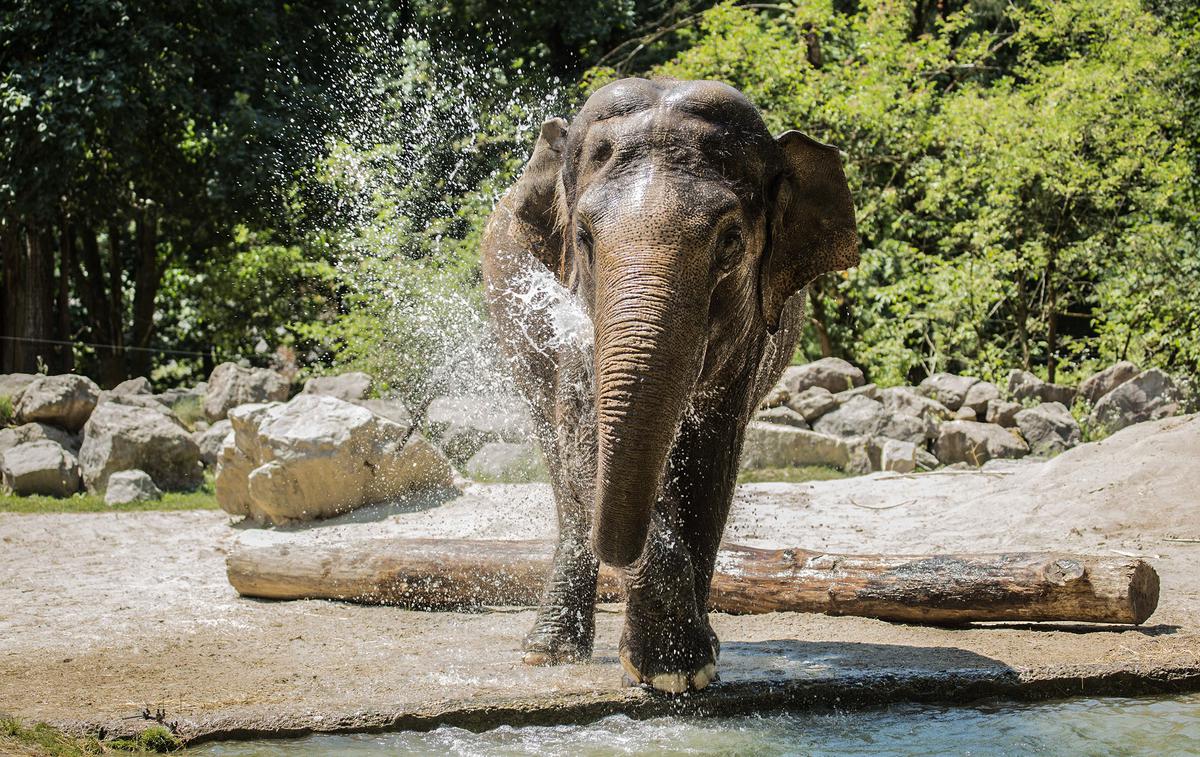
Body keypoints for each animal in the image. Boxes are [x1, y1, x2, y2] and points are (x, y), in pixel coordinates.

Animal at [475, 78, 854, 691]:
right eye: (584, 237)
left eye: (730, 241)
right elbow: (586, 442)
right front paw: (670, 667)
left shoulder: (750, 334)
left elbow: (709, 462)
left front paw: (684, 669)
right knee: (557, 456)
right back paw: (546, 652)